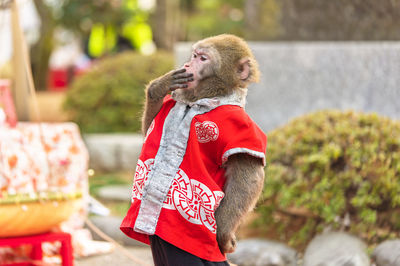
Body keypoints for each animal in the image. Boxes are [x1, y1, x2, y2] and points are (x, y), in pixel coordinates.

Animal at [120, 34, 268, 264]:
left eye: (203, 59)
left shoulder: (242, 127)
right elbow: (148, 132)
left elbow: (248, 176)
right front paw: (158, 87)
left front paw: (223, 235)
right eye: (194, 55)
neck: (199, 102)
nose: (189, 64)